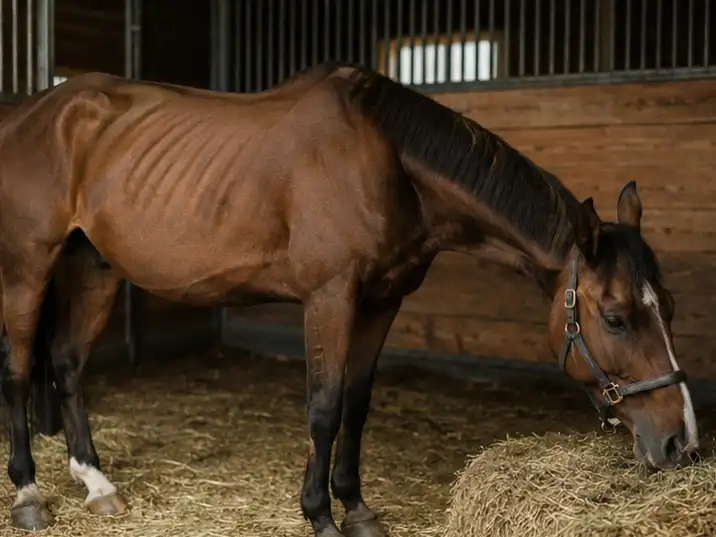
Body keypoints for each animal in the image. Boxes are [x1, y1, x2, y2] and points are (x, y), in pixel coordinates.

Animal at [0, 62, 698, 537]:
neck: (389, 162)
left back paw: (97, 484)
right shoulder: (330, 297)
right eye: (615, 317)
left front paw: (356, 508)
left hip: (93, 268)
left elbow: (358, 405)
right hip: (29, 268)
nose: (681, 444)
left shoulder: (383, 300)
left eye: (668, 306)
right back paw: (30, 495)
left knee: (66, 365)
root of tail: (29, 114)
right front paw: (319, 515)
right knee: (18, 372)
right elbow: (324, 407)